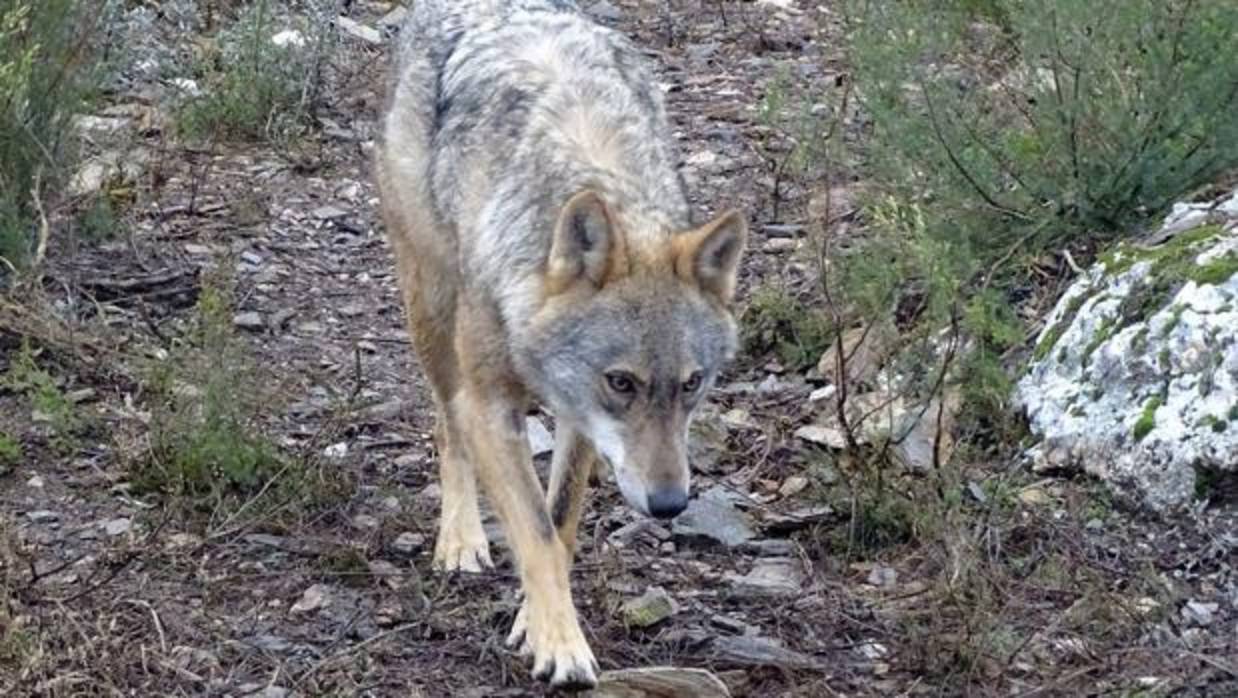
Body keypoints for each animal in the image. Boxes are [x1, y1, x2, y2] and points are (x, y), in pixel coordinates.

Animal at [373, 0, 742, 688]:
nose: (670, 504)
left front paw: (534, 621)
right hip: (430, 308)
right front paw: (562, 647)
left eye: (692, 384)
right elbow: (536, 533)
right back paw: (460, 539)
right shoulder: (492, 406)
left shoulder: (580, 418)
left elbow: (560, 523)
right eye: (621, 382)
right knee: (445, 424)